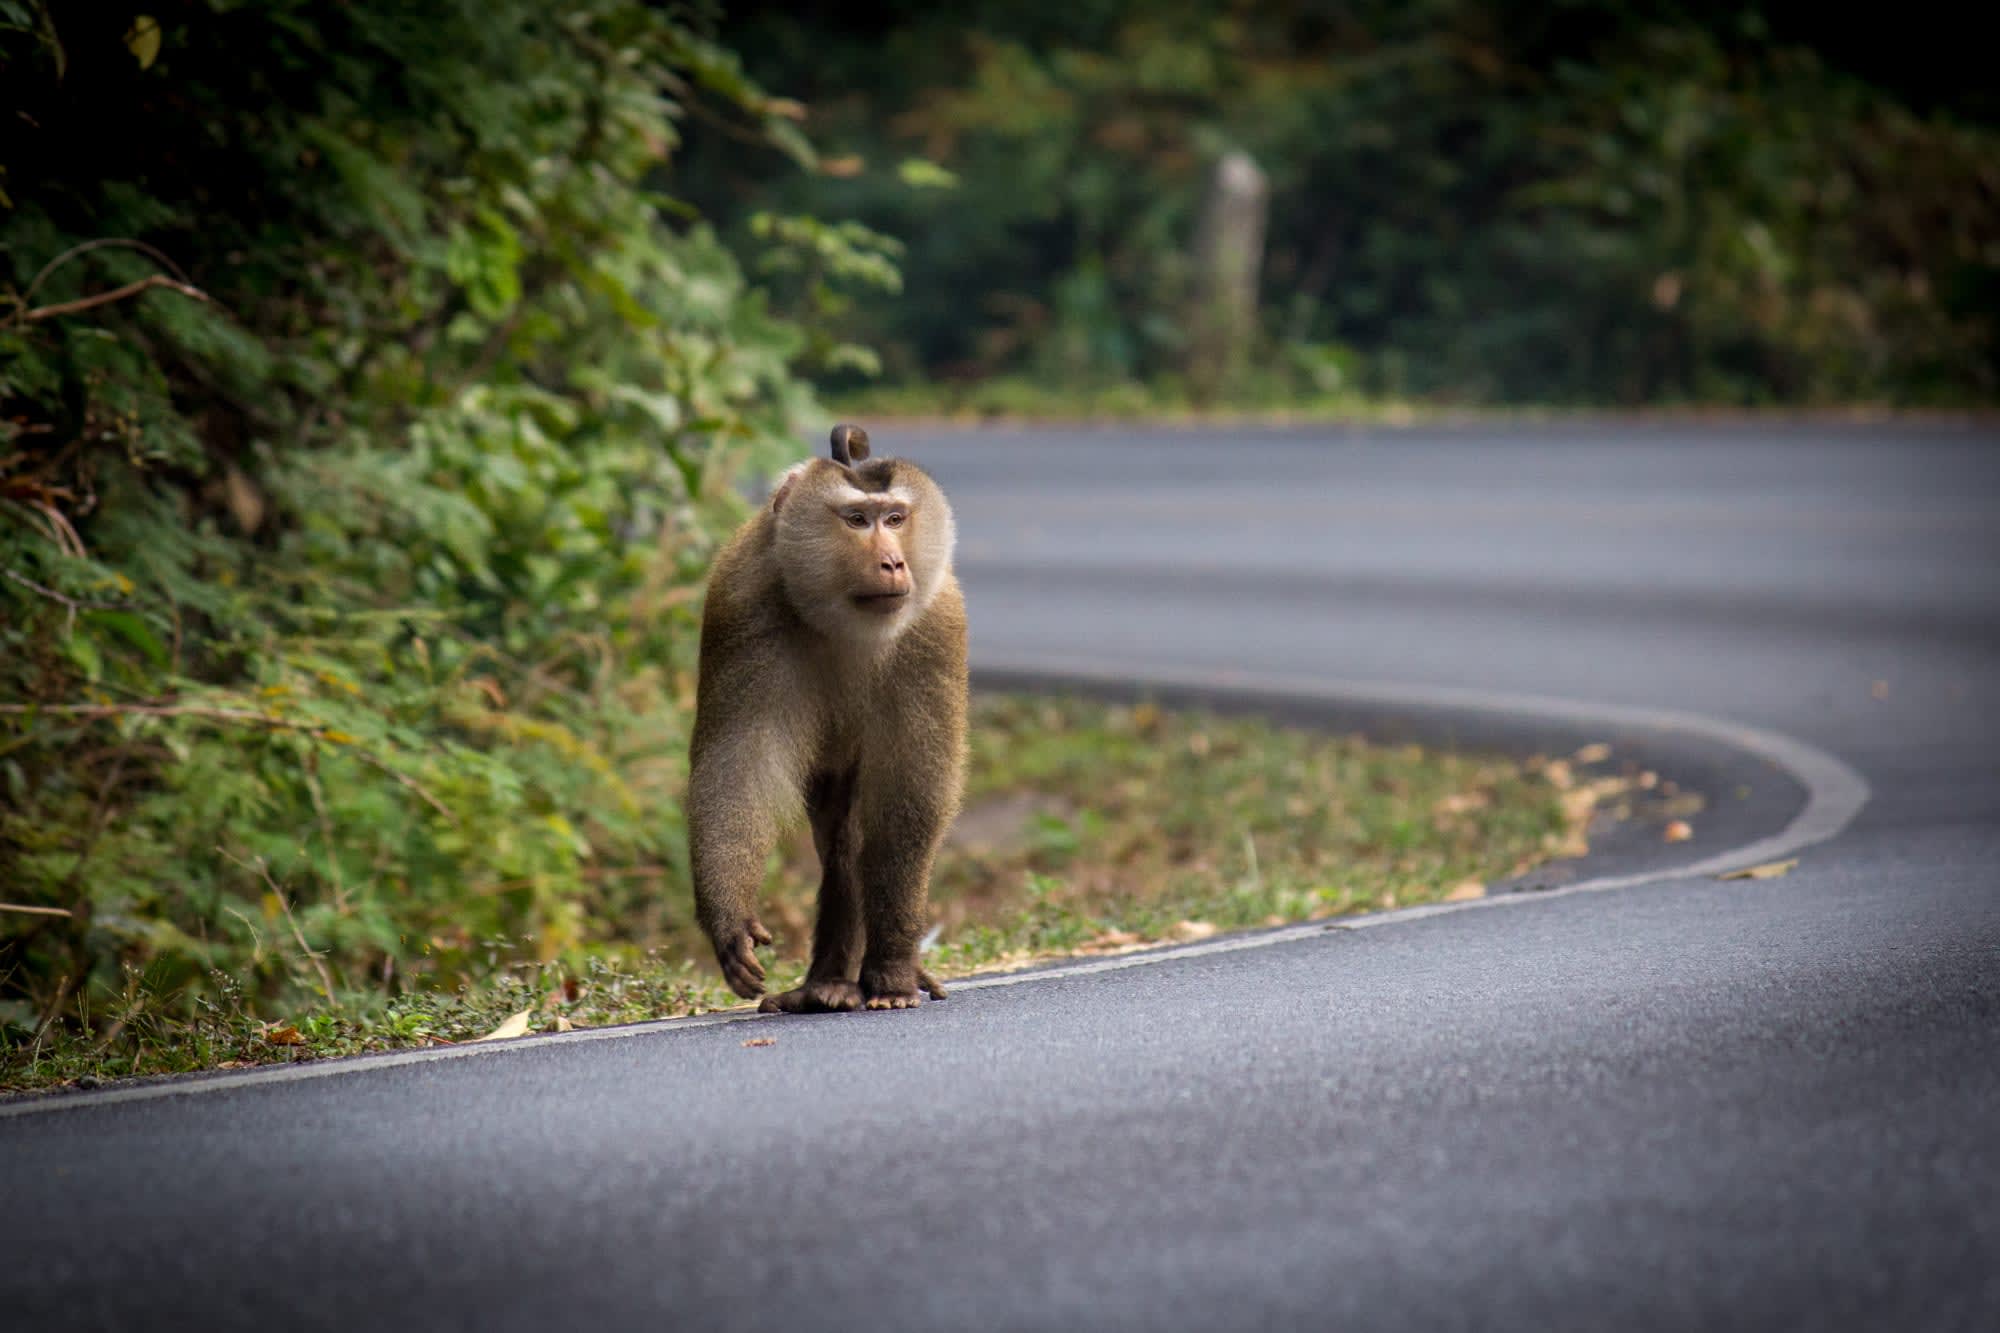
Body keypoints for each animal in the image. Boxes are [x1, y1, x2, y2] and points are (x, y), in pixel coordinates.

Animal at [687, 423, 967, 1013]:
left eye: (896, 518)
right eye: (857, 520)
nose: (893, 563)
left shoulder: (936, 626)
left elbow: (912, 792)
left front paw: (892, 971)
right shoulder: (741, 603)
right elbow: (738, 766)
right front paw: (728, 921)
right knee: (838, 837)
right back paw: (828, 983)